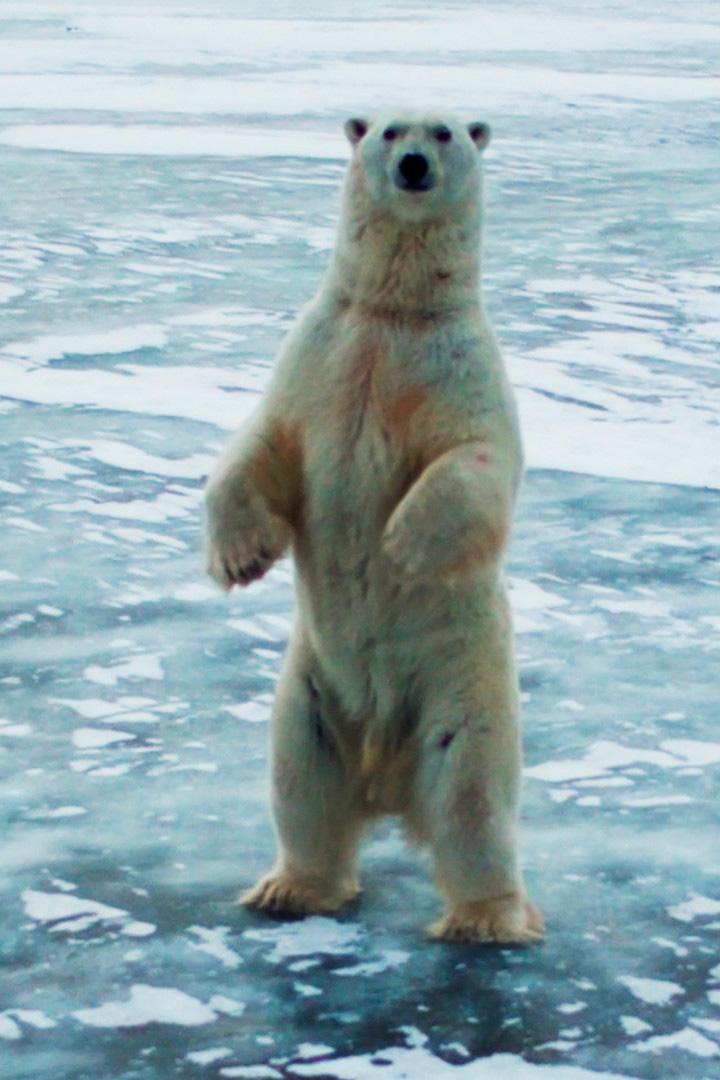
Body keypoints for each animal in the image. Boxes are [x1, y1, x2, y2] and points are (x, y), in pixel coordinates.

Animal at [205, 105, 544, 941]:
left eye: (447, 131)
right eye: (390, 130)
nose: (414, 165)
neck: (393, 313)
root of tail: (386, 777)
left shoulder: (457, 366)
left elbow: (475, 456)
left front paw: (403, 544)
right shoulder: (319, 356)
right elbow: (262, 445)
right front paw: (238, 558)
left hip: (464, 687)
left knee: (471, 798)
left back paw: (486, 919)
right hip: (311, 693)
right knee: (303, 782)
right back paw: (290, 888)